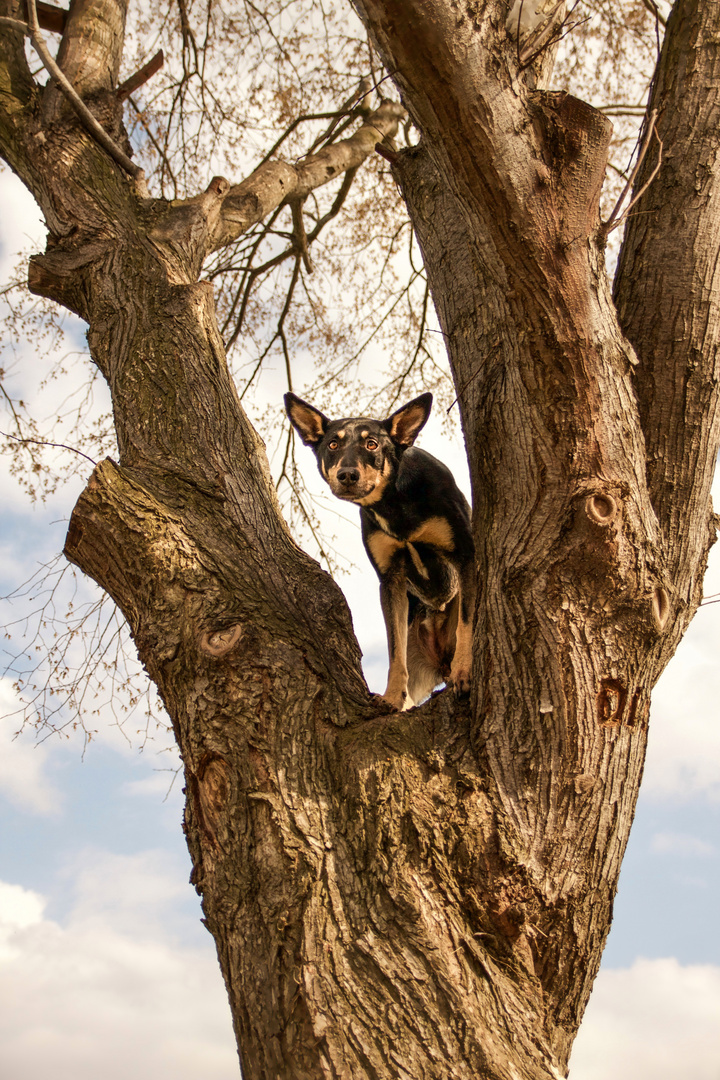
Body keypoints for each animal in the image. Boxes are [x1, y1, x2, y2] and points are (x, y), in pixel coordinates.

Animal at [284, 393, 474, 712]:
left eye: (372, 444)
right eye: (332, 445)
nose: (347, 475)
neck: (394, 501)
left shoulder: (465, 557)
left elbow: (467, 624)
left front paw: (464, 670)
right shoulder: (391, 580)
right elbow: (395, 650)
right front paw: (391, 697)